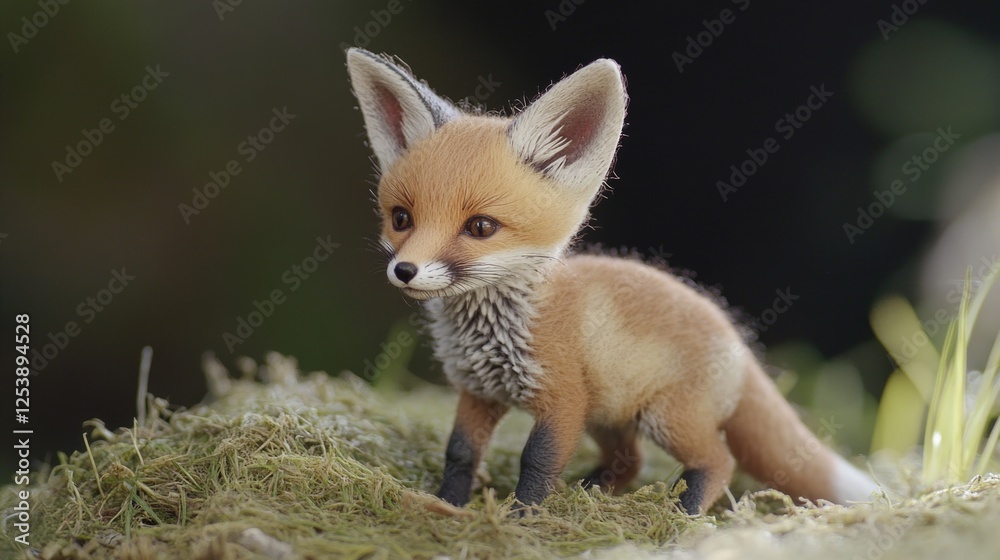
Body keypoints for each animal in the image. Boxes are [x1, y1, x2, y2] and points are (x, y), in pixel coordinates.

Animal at [345, 48, 878, 514]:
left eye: (480, 227)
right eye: (401, 219)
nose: (405, 271)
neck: (497, 328)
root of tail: (739, 343)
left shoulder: (562, 400)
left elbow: (537, 462)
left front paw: (521, 518)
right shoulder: (479, 393)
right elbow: (459, 454)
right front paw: (447, 504)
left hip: (665, 418)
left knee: (718, 460)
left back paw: (683, 512)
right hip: (609, 414)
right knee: (631, 460)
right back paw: (594, 492)